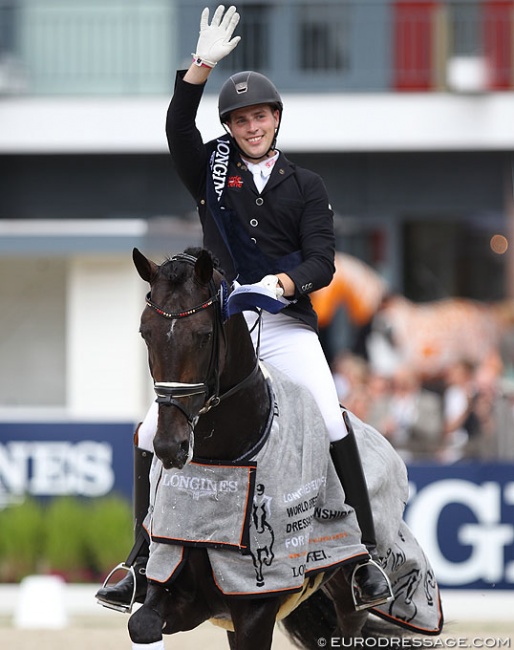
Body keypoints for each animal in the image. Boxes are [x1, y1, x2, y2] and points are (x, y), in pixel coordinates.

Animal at [127, 246, 436, 644]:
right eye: (145, 333)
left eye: (204, 334)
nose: (169, 446)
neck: (221, 463)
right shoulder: (179, 587)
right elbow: (141, 624)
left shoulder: (256, 606)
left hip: (348, 601)